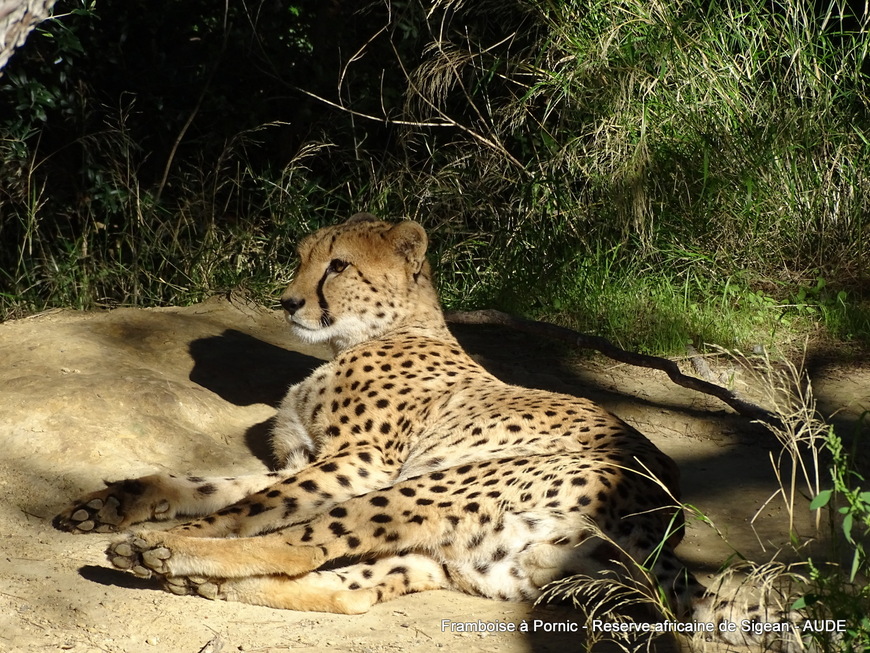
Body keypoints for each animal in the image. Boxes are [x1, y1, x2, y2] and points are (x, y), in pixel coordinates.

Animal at [54, 215, 792, 648]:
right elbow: (212, 483)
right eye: (300, 259)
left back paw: (165, 554)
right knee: (348, 590)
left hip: (430, 489)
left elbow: (250, 509)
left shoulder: (361, 462)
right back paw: (195, 581)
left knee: (300, 546)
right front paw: (111, 502)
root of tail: (669, 521)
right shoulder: (305, 460)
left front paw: (172, 530)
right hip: (453, 556)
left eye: (338, 266)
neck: (366, 334)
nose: (288, 302)